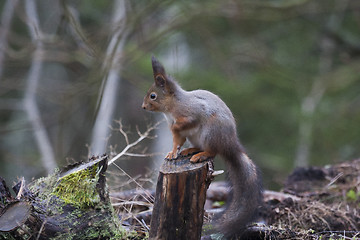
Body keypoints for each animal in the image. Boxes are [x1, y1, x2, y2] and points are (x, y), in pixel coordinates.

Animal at [142, 56, 262, 238]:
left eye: (153, 96)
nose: (143, 107)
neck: (172, 106)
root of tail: (230, 144)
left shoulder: (194, 111)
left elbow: (187, 122)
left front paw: (176, 127)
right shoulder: (179, 133)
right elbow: (177, 141)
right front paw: (172, 153)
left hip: (211, 132)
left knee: (213, 151)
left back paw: (200, 155)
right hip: (198, 138)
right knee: (199, 147)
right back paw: (190, 150)